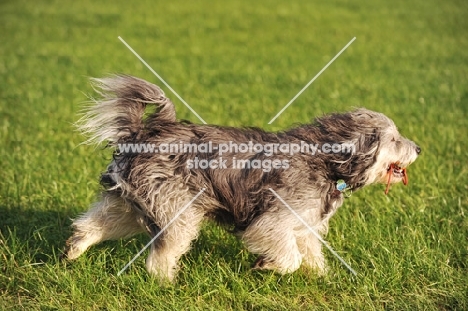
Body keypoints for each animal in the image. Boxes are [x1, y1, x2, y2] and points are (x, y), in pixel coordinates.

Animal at [65, 75, 420, 282]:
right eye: (394, 139)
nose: (418, 147)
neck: (325, 160)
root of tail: (144, 132)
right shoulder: (272, 222)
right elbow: (290, 258)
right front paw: (266, 266)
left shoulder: (304, 224)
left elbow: (311, 255)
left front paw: (322, 278)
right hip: (178, 212)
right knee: (160, 258)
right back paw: (167, 284)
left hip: (136, 204)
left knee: (91, 224)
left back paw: (73, 250)